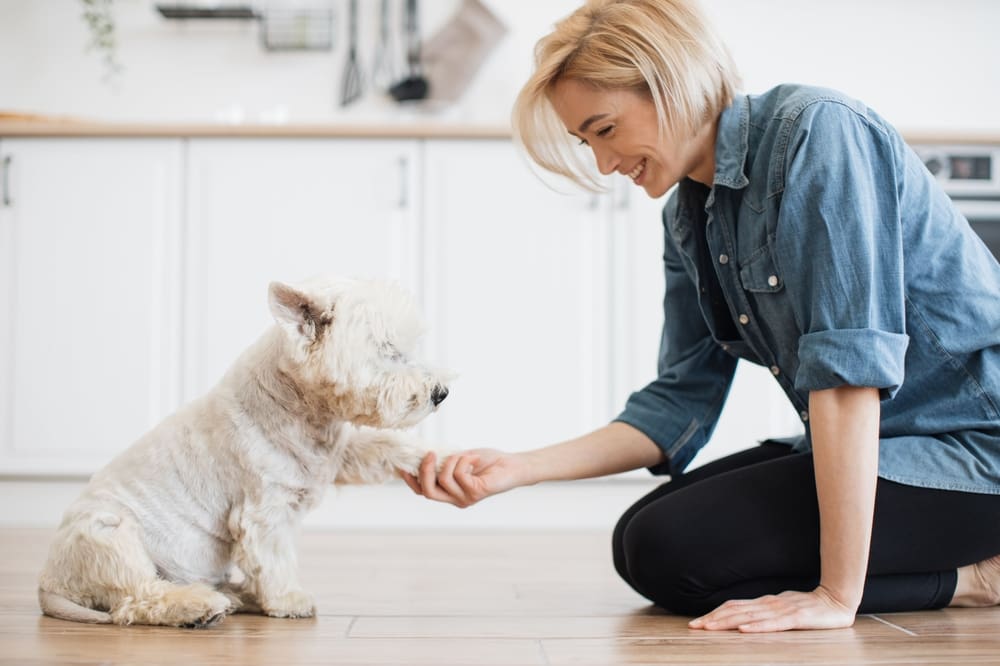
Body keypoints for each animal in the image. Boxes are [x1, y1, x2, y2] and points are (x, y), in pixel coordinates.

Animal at [36, 274, 450, 624]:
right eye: (387, 350)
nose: (441, 393)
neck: (299, 405)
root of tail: (49, 585)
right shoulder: (263, 510)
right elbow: (272, 557)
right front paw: (289, 600)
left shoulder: (335, 455)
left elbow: (377, 446)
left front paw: (434, 460)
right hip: (108, 536)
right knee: (137, 598)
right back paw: (199, 606)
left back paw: (234, 596)